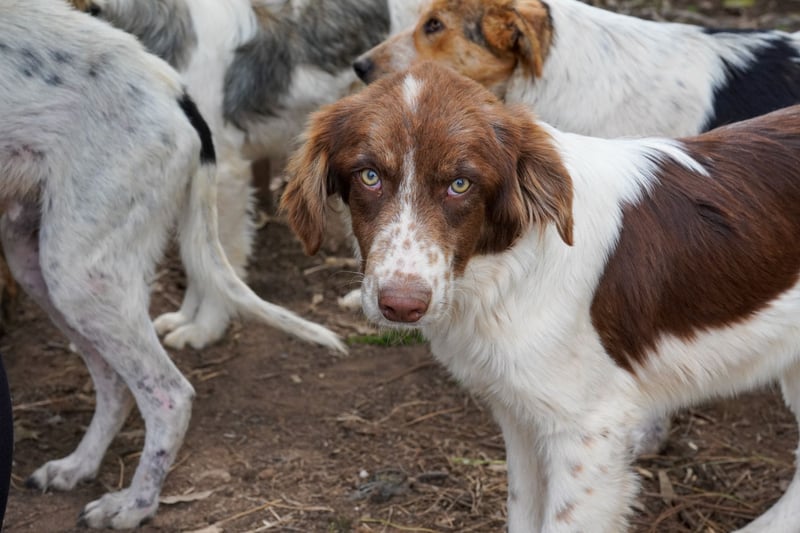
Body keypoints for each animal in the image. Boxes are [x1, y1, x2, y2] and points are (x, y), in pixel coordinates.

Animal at [1, 0, 345, 528]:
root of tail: (175, 93)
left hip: (77, 273)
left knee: (170, 394)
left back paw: (134, 506)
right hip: (37, 260)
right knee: (117, 385)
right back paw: (80, 466)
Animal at [282, 61, 800, 532]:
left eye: (460, 184)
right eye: (369, 176)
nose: (402, 306)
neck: (504, 269)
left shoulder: (588, 432)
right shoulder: (521, 415)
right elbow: (522, 510)